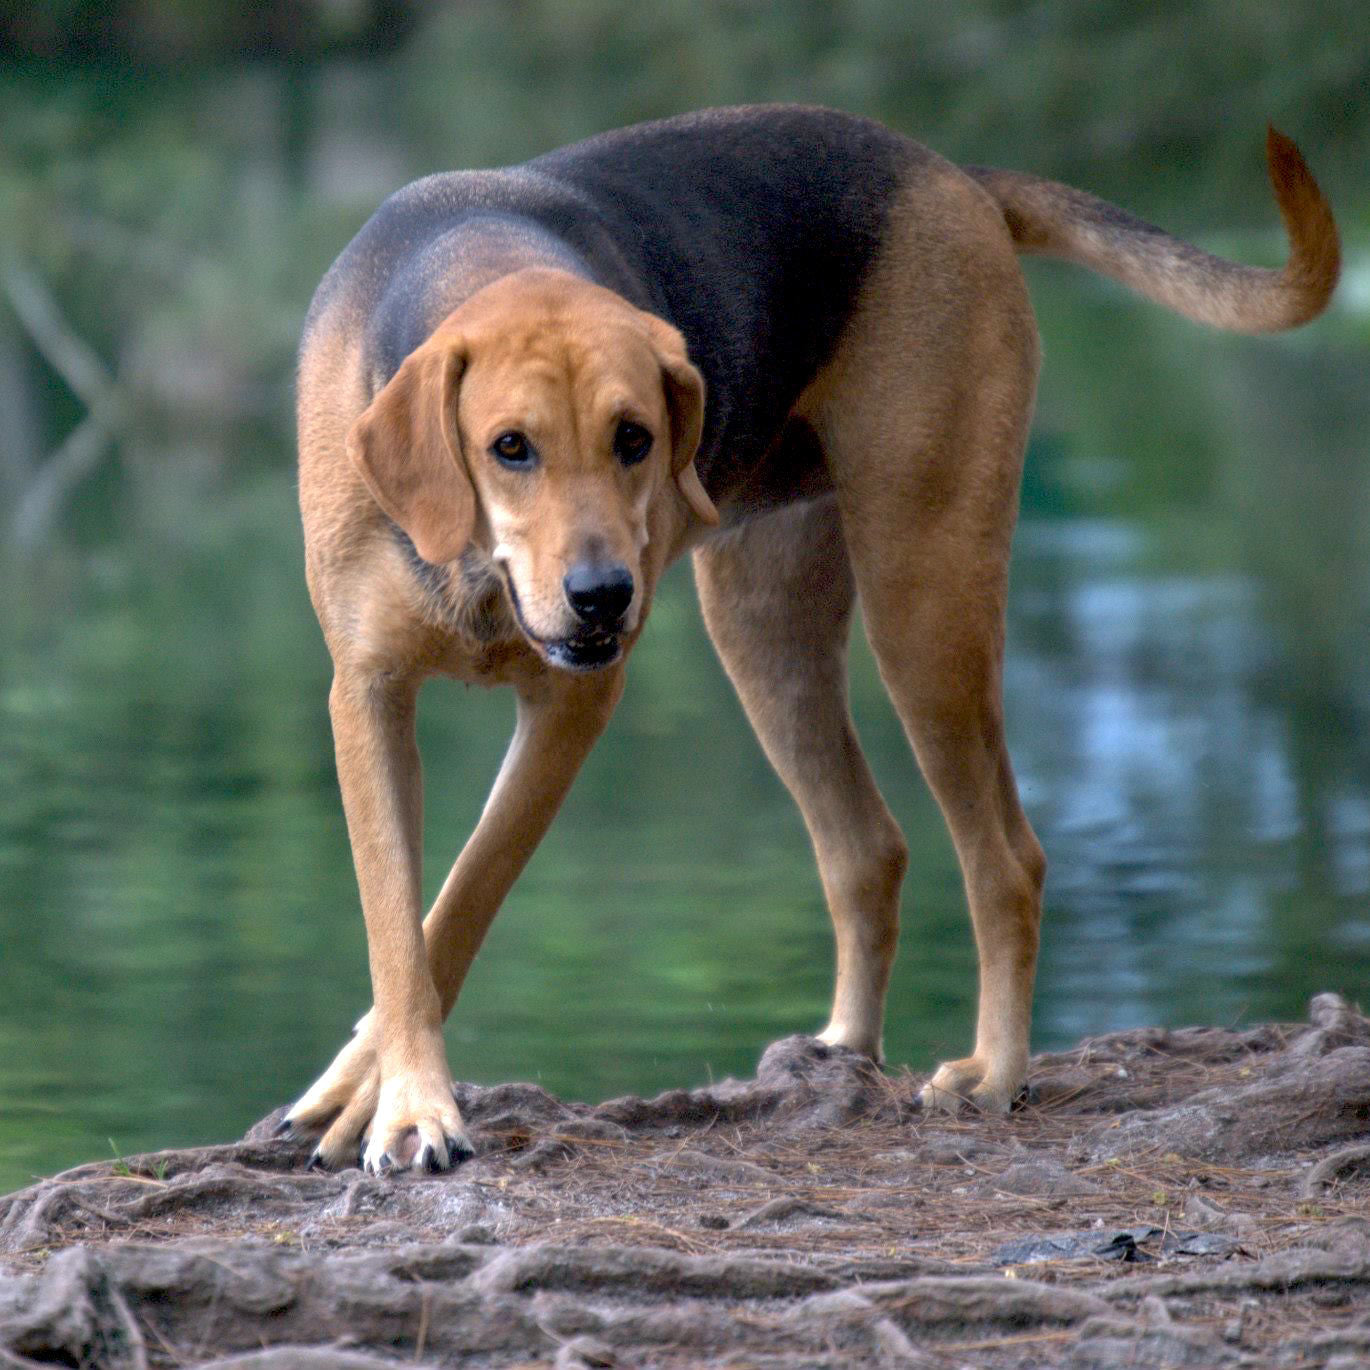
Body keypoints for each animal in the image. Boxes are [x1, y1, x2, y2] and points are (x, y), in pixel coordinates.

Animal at [280, 109, 1337, 1178]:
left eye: (634, 438)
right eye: (510, 447)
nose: (604, 598)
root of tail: (948, 172)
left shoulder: (571, 702)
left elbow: (461, 900)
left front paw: (389, 1099)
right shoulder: (366, 694)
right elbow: (401, 921)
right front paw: (391, 1095)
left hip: (923, 603)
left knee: (1007, 860)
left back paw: (993, 1070)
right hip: (766, 625)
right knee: (868, 848)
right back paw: (843, 1054)